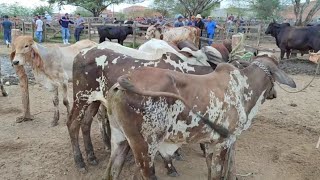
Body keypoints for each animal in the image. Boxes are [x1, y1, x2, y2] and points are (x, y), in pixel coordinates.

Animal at [67, 39, 238, 174]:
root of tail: (83, 52)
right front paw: (170, 166)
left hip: (94, 101)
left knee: (86, 123)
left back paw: (92, 156)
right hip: (81, 97)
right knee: (73, 124)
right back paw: (80, 162)